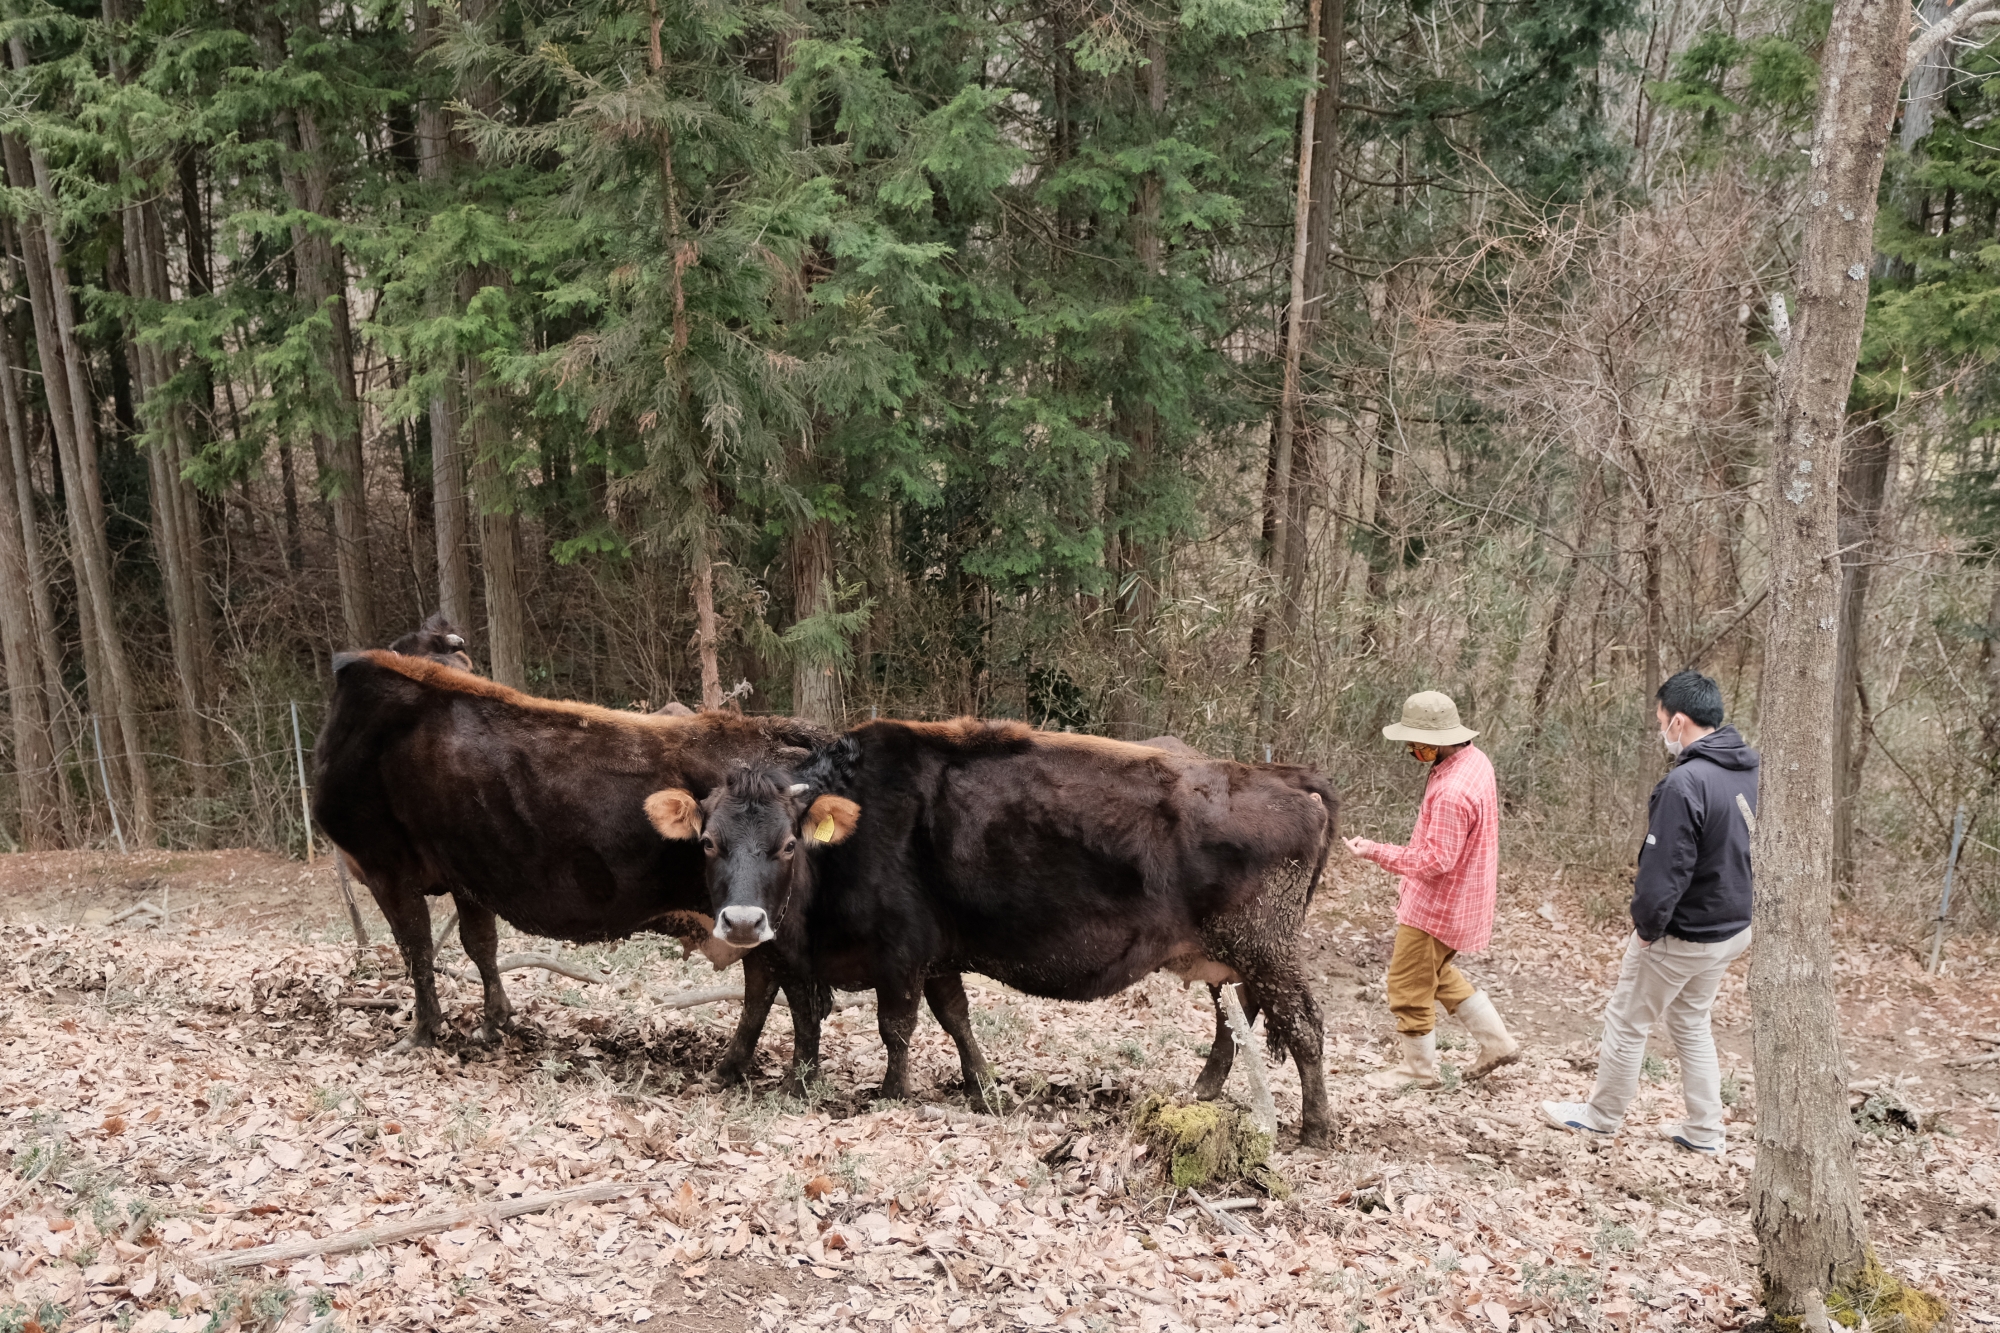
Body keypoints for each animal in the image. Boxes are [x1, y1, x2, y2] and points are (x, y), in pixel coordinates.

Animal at [316, 648, 832, 1056]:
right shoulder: (468, 876)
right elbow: (478, 945)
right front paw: (493, 1022)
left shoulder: (386, 868)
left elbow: (417, 950)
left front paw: (421, 1034)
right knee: (768, 985)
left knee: (792, 991)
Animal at [652, 716, 1344, 1144]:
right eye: (709, 843)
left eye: (788, 844)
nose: (744, 920)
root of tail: (1282, 778)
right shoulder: (932, 955)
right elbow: (952, 1016)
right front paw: (982, 1087)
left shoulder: (902, 951)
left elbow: (896, 1024)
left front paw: (893, 1091)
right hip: (1233, 956)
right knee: (1239, 1019)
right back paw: (1203, 1092)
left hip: (1267, 948)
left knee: (1304, 1024)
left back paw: (1316, 1128)